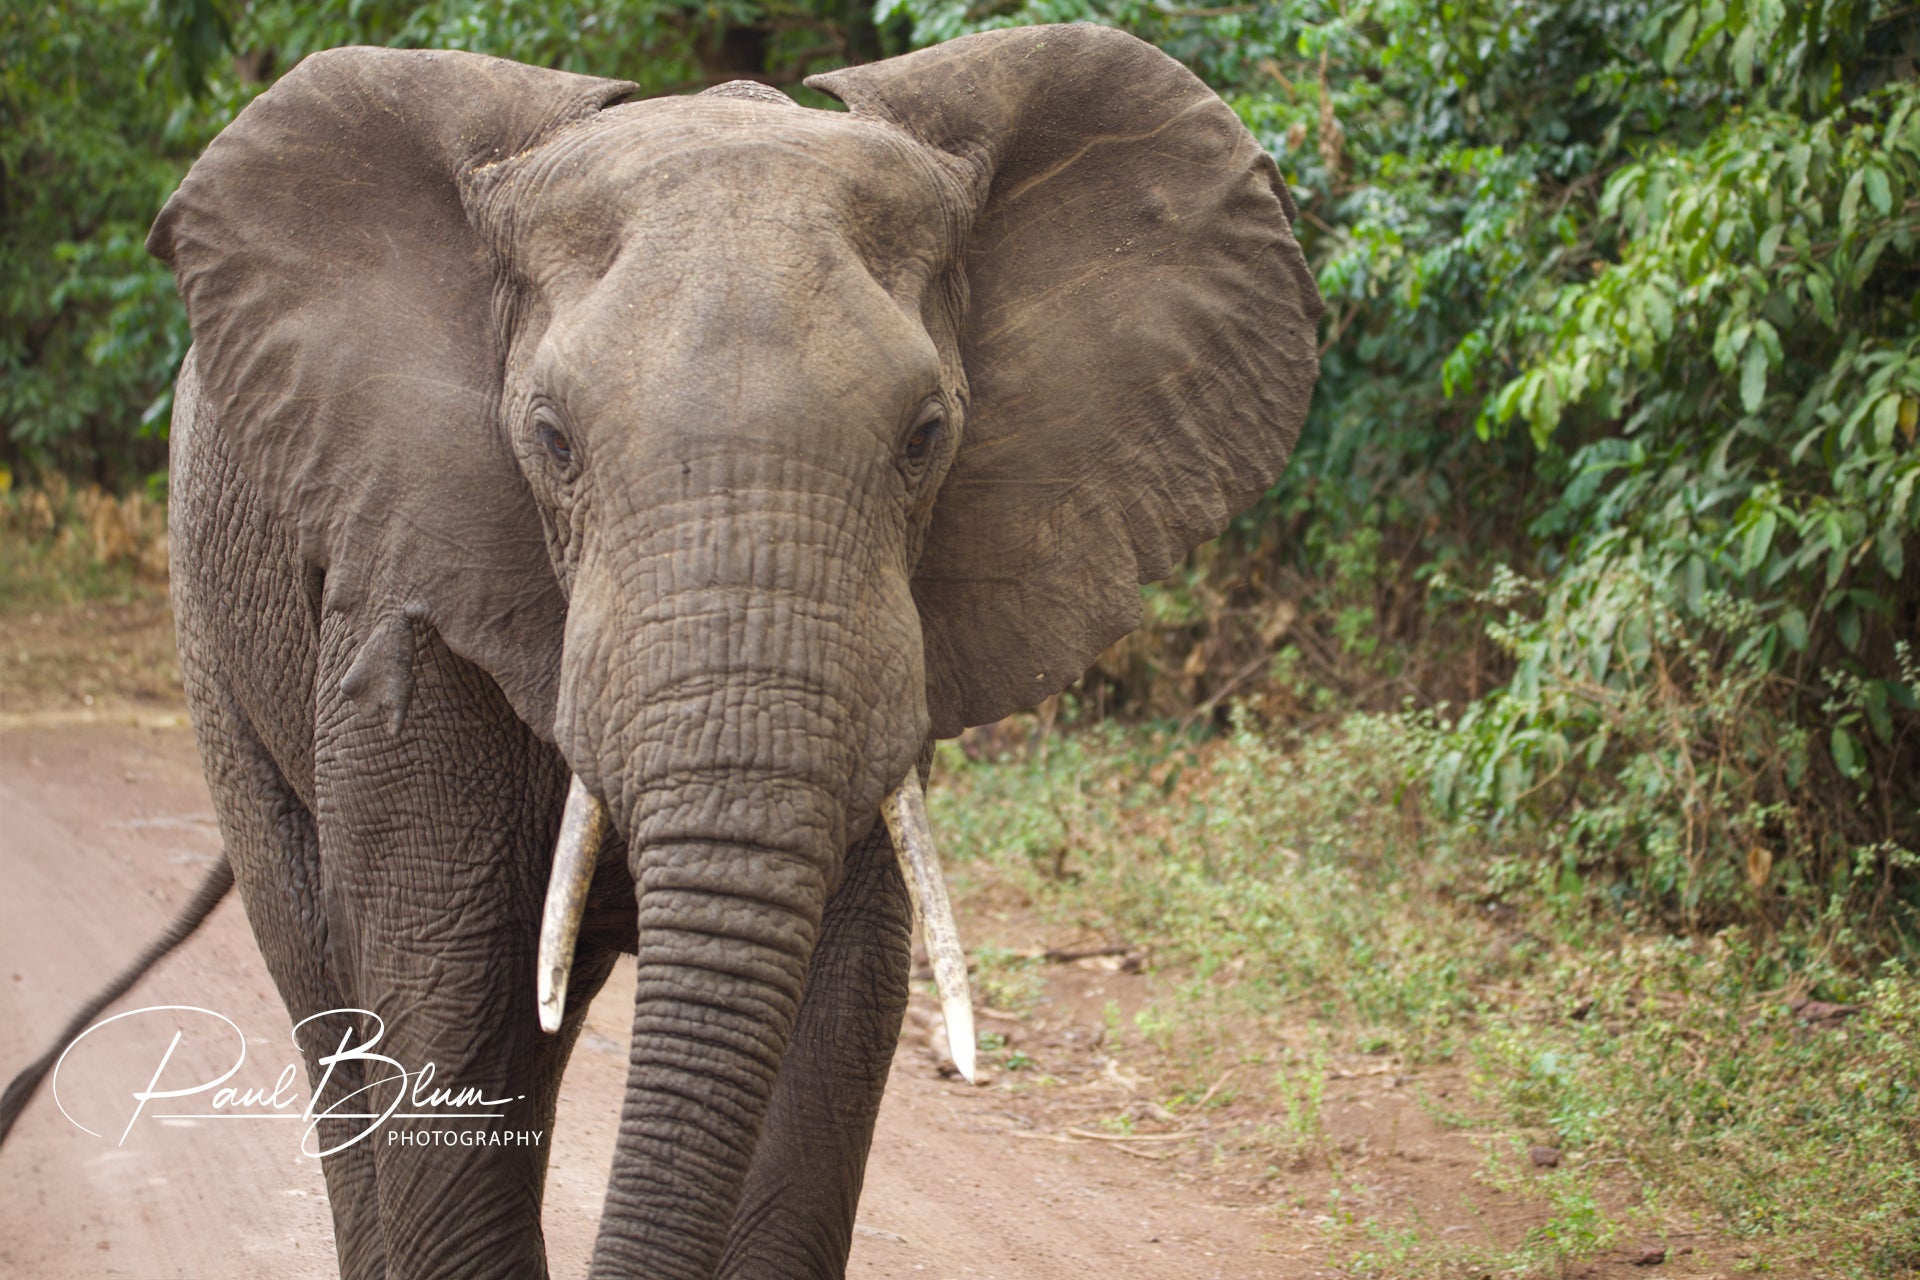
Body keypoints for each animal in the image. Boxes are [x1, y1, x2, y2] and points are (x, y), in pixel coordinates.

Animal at [139, 20, 1320, 1280]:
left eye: (926, 437)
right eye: (550, 440)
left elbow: (837, 1008)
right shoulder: (409, 585)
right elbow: (437, 999)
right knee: (330, 989)